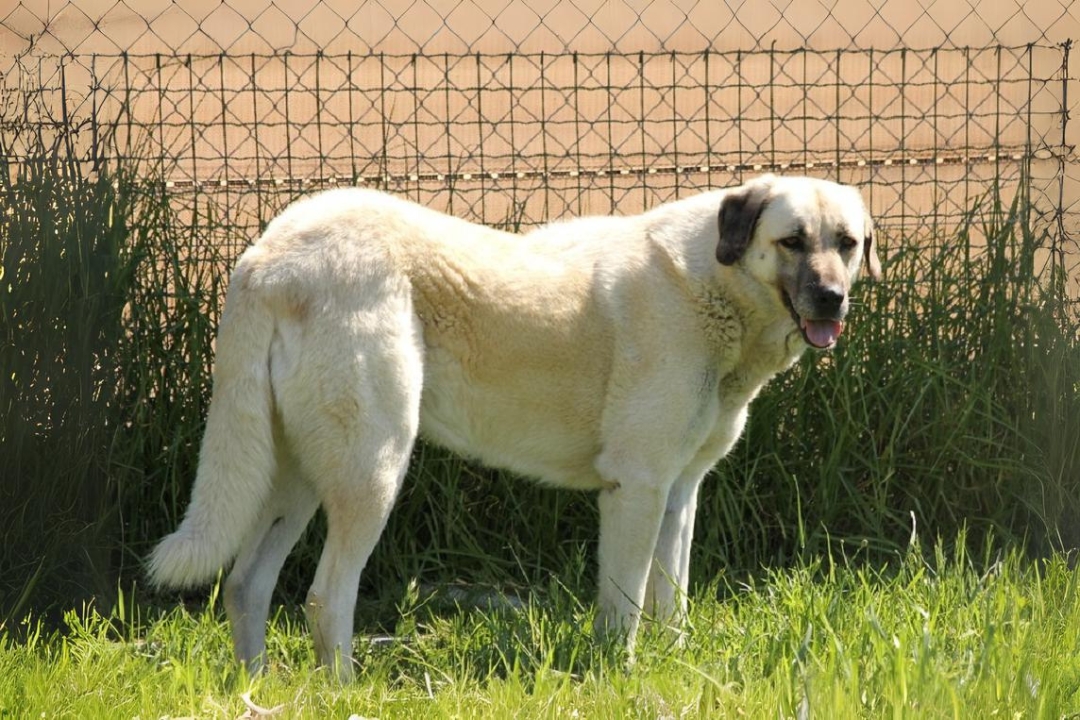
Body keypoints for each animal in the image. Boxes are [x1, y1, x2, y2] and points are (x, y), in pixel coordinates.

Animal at [150, 171, 876, 677]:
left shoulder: (678, 493)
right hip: (373, 468)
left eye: (847, 244)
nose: (832, 299)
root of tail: (267, 255)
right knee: (325, 599)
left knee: (246, 586)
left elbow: (671, 600)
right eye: (791, 242)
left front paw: (675, 667)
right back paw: (342, 692)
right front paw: (622, 678)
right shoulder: (635, 488)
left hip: (299, 475)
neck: (715, 285)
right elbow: (624, 606)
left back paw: (259, 690)